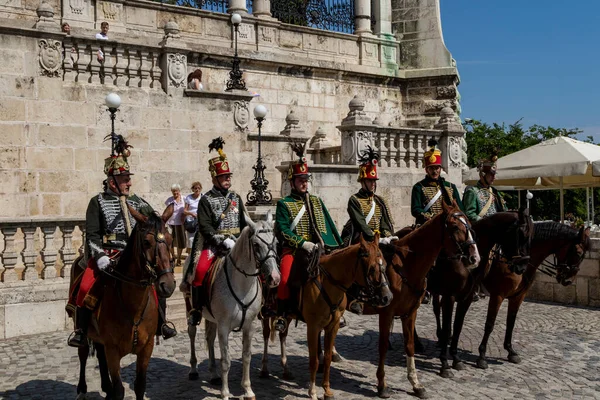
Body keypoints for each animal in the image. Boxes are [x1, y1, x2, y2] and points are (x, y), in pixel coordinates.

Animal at [69, 211, 176, 398]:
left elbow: (140, 385)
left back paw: (106, 387)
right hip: (82, 328)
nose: (167, 285)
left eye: (170, 240)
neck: (134, 306)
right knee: (83, 353)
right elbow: (119, 390)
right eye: (146, 242)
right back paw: (82, 389)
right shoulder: (113, 350)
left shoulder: (146, 348)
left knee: (100, 355)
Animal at [188, 216, 282, 400]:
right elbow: (226, 360)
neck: (242, 284)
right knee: (192, 334)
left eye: (275, 242)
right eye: (256, 245)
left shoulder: (249, 326)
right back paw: (194, 369)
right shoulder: (224, 327)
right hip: (192, 308)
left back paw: (214, 375)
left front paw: (248, 390)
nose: (274, 278)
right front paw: (225, 393)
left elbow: (246, 357)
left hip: (212, 319)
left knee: (209, 339)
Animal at [358, 202, 480, 398]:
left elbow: (410, 345)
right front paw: (382, 385)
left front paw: (415, 384)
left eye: (469, 224)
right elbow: (382, 346)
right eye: (455, 227)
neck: (406, 265)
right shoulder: (387, 313)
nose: (475, 257)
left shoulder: (411, 311)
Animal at [426, 209, 536, 378]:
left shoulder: (468, 297)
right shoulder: (453, 296)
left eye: (532, 237)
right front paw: (447, 364)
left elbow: (458, 325)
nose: (522, 267)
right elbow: (482, 325)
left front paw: (456, 358)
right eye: (521, 234)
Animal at [476, 222, 592, 368]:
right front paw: (482, 356)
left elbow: (511, 323)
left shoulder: (518, 297)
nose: (569, 280)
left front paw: (510, 351)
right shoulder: (497, 296)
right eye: (578, 253)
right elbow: (489, 324)